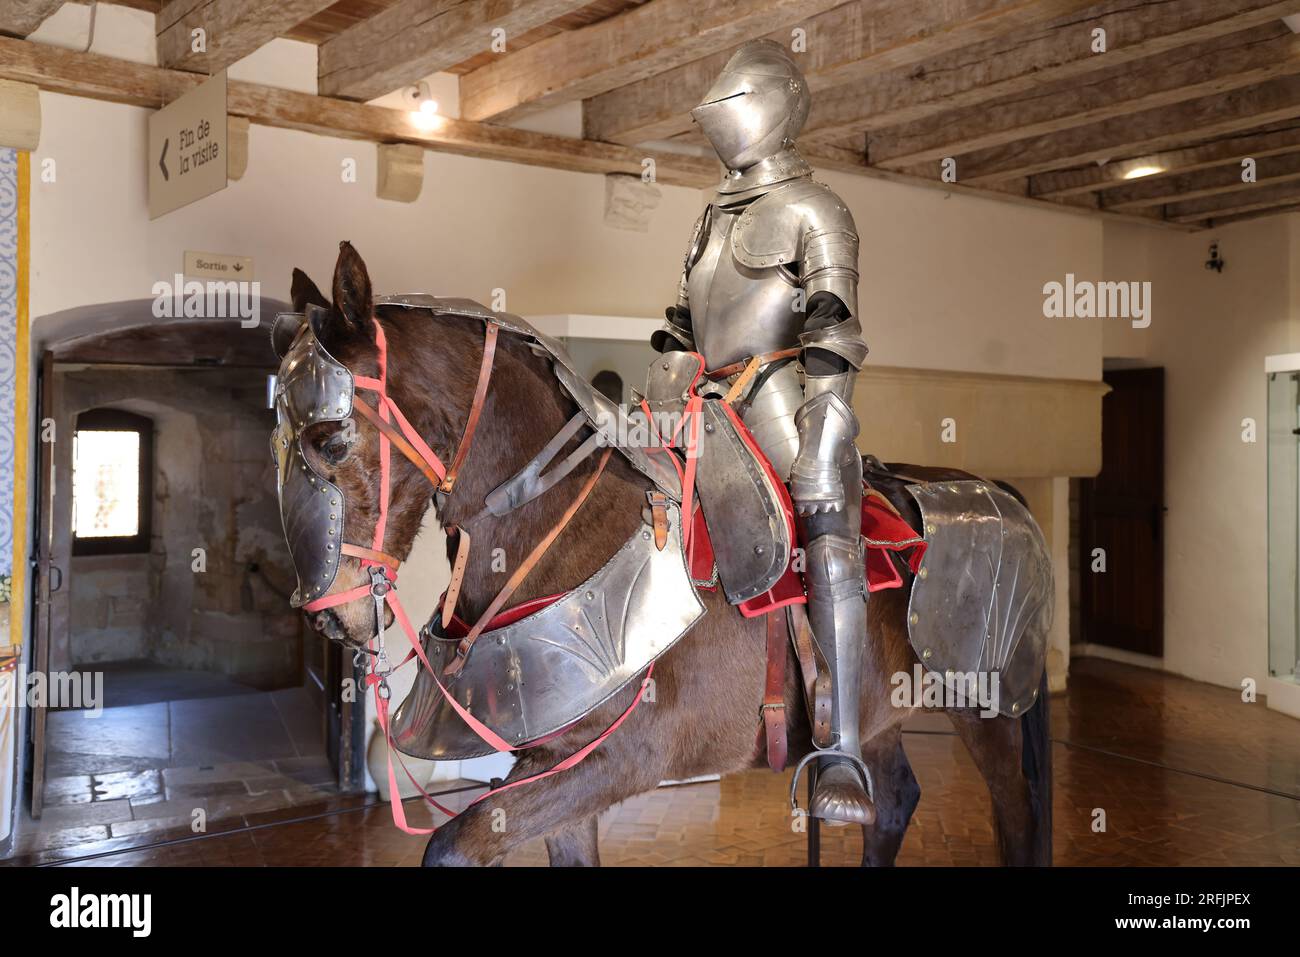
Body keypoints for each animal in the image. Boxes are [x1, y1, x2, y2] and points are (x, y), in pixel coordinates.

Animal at [287, 244, 1055, 868]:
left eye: (331, 439)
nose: (330, 615)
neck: (562, 525)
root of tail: (996, 490)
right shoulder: (553, 763)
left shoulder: (620, 759)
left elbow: (452, 843)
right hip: (876, 714)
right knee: (891, 800)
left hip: (987, 709)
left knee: (1016, 813)